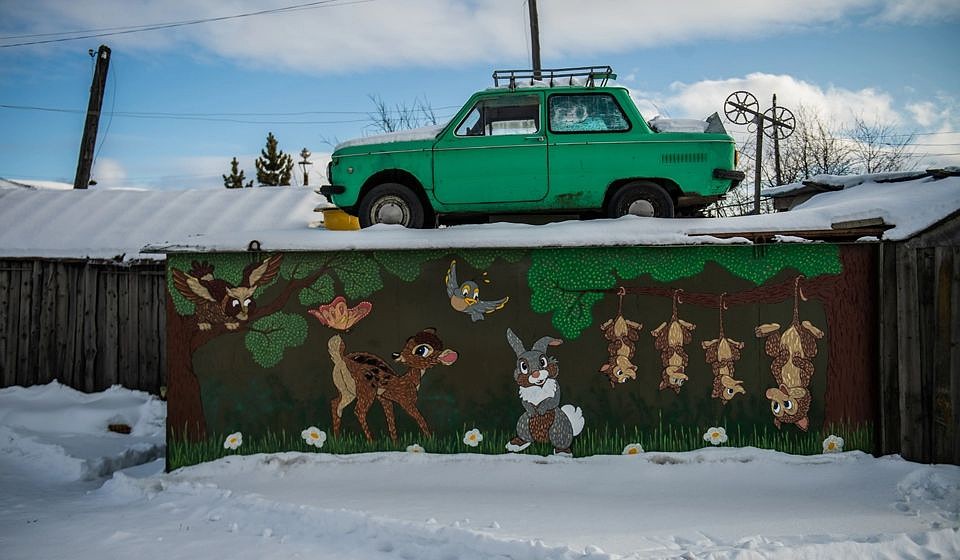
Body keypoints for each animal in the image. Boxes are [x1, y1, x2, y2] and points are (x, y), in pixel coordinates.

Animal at [506, 328, 580, 456]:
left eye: (542, 362)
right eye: (524, 366)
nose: (536, 374)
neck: (539, 387)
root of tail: (542, 442)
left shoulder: (555, 395)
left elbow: (550, 401)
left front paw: (540, 410)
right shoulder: (524, 399)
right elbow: (526, 404)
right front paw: (533, 412)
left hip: (559, 428)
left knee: (560, 441)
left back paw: (563, 452)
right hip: (523, 422)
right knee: (526, 436)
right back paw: (516, 444)